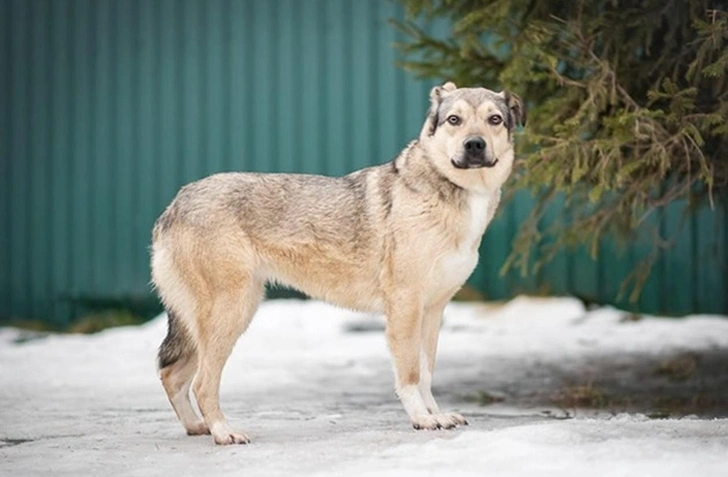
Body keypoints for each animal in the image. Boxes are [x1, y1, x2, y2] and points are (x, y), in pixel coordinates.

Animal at [151, 82, 524, 442]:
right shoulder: (405, 306)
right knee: (201, 383)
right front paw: (421, 419)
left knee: (172, 375)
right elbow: (409, 375)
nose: (474, 145)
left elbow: (427, 374)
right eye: (454, 120)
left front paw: (437, 415)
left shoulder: (433, 310)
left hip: (215, 320)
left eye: (494, 120)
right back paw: (223, 431)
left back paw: (197, 427)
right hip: (231, 313)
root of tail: (174, 204)